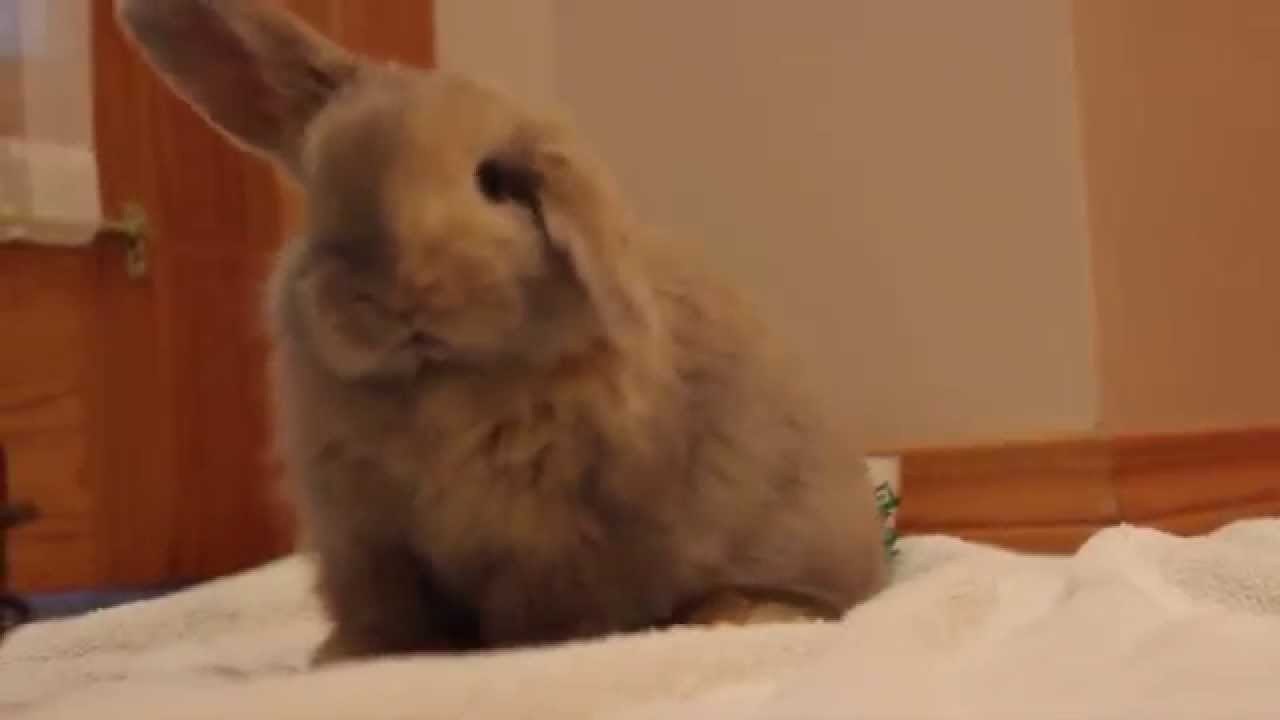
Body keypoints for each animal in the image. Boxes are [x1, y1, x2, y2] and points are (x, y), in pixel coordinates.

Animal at [117, 0, 889, 664]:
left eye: (496, 182)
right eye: (320, 188)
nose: (400, 298)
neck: (438, 382)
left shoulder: (552, 539)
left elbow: (537, 613)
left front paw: (516, 651)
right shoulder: (368, 540)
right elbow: (385, 615)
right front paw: (349, 658)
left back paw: (739, 616)